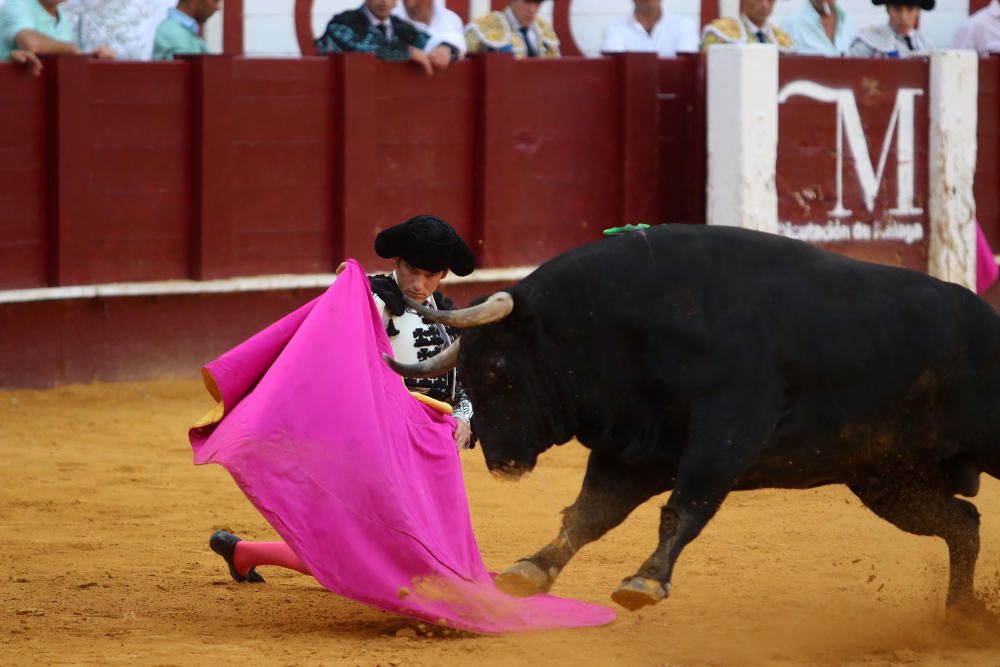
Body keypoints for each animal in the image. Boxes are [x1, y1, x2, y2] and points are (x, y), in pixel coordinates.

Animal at [386, 226, 996, 616]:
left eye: (497, 368)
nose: (501, 461)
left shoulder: (724, 435)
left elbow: (683, 508)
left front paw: (644, 581)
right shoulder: (634, 450)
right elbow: (587, 514)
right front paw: (528, 572)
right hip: (886, 477)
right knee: (963, 523)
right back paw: (959, 616)